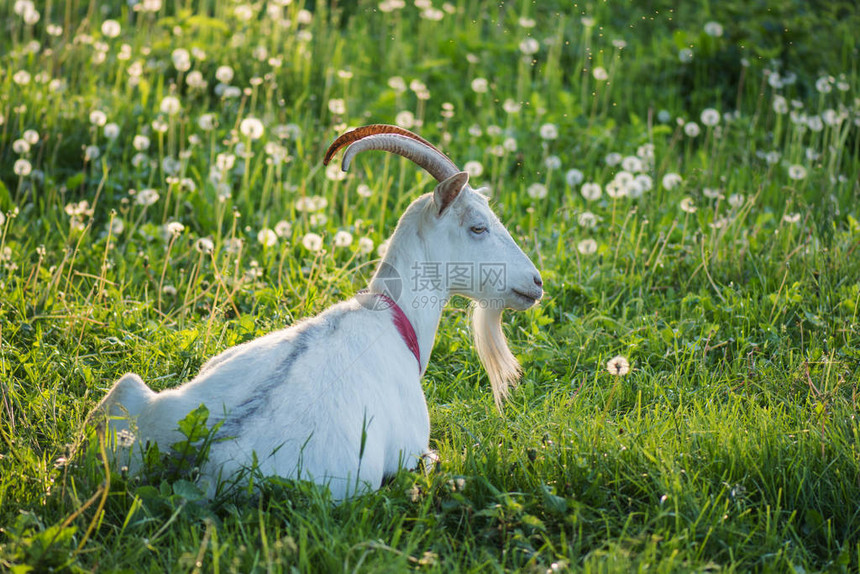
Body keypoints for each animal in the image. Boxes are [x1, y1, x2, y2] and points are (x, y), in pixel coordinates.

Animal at [92, 125, 536, 500]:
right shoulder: (413, 449)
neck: (391, 317)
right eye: (477, 227)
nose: (536, 282)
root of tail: (201, 451)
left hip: (129, 394)